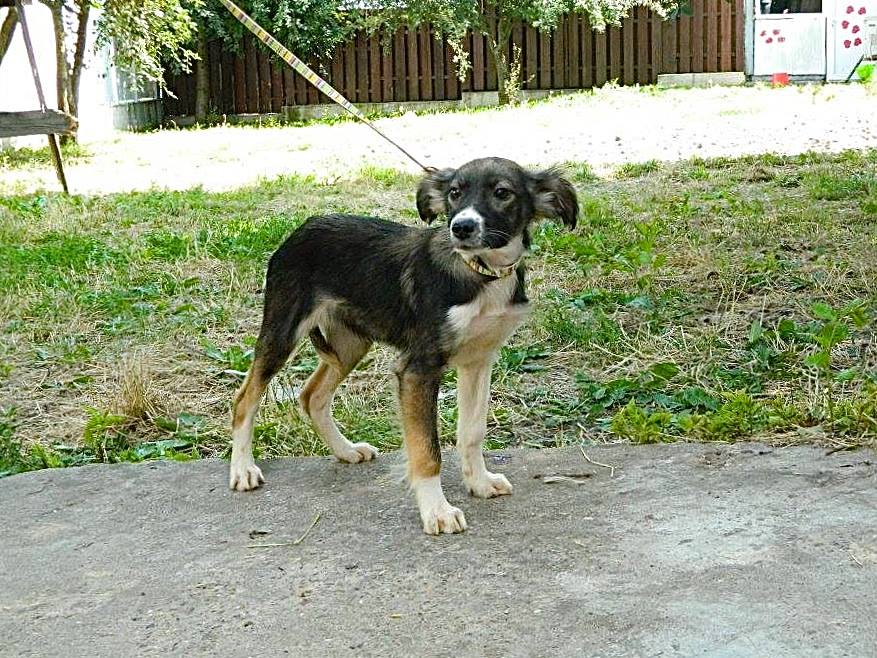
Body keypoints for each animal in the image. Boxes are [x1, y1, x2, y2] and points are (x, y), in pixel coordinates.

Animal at [229, 157, 578, 534]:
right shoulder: (418, 369)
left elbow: (472, 432)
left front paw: (479, 482)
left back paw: (345, 450)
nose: (461, 228)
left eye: (502, 193)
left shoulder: (479, 360)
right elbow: (426, 450)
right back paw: (243, 470)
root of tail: (303, 227)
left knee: (312, 395)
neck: (481, 271)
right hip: (282, 332)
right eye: (454, 193)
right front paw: (437, 511)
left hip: (350, 344)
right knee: (245, 398)